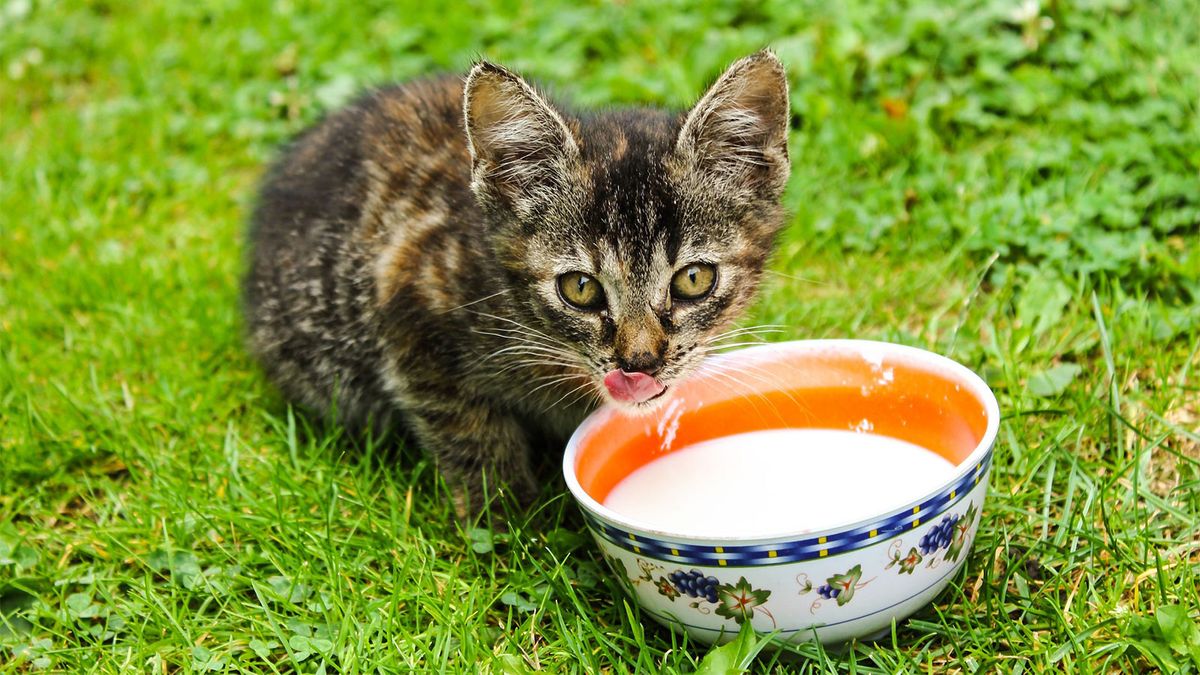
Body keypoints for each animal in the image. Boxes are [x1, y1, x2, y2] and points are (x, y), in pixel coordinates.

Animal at [243, 49, 792, 506]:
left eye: (693, 280)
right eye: (580, 288)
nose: (640, 363)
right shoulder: (410, 303)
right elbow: (470, 432)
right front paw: (509, 521)